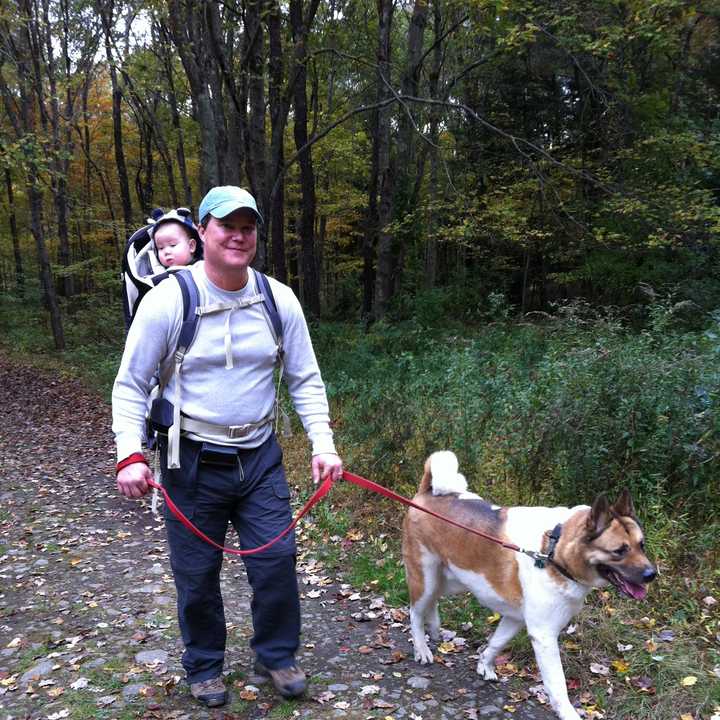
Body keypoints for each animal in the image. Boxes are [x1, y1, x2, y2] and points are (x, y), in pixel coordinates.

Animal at [402, 452, 656, 716]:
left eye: (641, 545)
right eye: (619, 551)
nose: (652, 574)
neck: (553, 551)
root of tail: (426, 492)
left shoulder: (515, 619)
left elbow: (496, 643)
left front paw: (484, 665)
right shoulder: (544, 636)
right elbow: (557, 685)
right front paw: (568, 712)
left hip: (453, 579)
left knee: (433, 602)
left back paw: (434, 627)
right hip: (425, 578)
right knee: (415, 612)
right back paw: (422, 647)